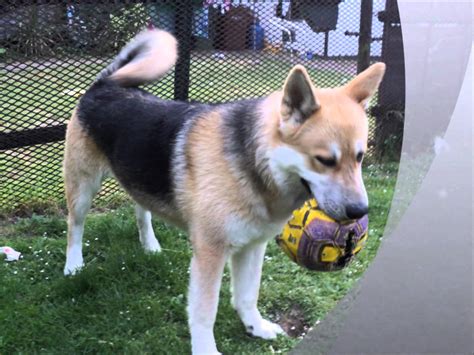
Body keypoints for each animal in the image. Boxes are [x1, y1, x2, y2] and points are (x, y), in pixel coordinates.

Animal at [63, 29, 386, 354]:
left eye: (359, 157)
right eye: (325, 160)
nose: (360, 211)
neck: (256, 166)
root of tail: (105, 83)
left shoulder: (253, 246)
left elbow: (247, 294)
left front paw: (255, 326)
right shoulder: (211, 253)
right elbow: (205, 311)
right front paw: (205, 349)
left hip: (137, 176)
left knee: (142, 211)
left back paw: (149, 244)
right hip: (83, 188)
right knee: (75, 227)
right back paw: (74, 265)